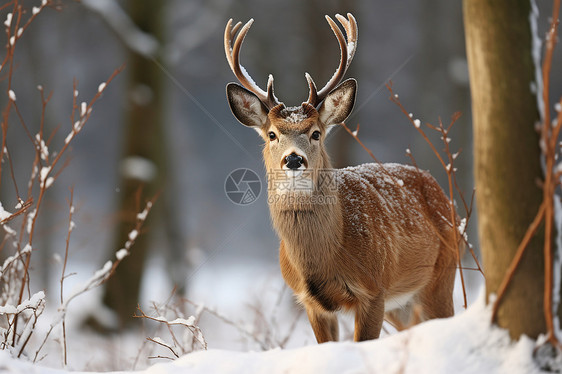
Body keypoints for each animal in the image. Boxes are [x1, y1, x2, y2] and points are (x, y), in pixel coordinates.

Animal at [222, 13, 456, 342]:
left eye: (315, 133)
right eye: (272, 134)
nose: (293, 159)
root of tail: (436, 186)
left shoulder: (373, 289)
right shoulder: (311, 303)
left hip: (442, 274)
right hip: (403, 304)